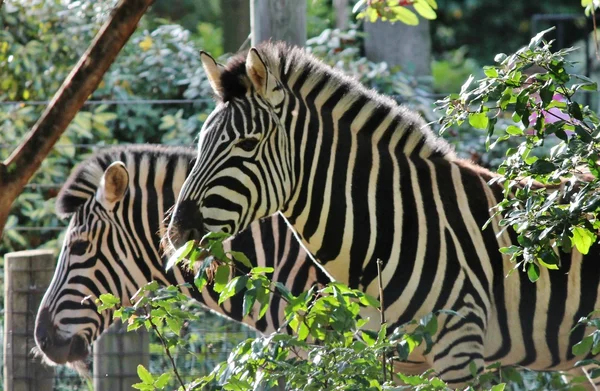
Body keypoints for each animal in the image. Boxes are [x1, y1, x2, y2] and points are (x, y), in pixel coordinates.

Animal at [166, 43, 600, 388]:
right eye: (200, 143)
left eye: (247, 144)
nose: (177, 232)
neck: (387, 226)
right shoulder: (396, 357)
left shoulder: (459, 349)